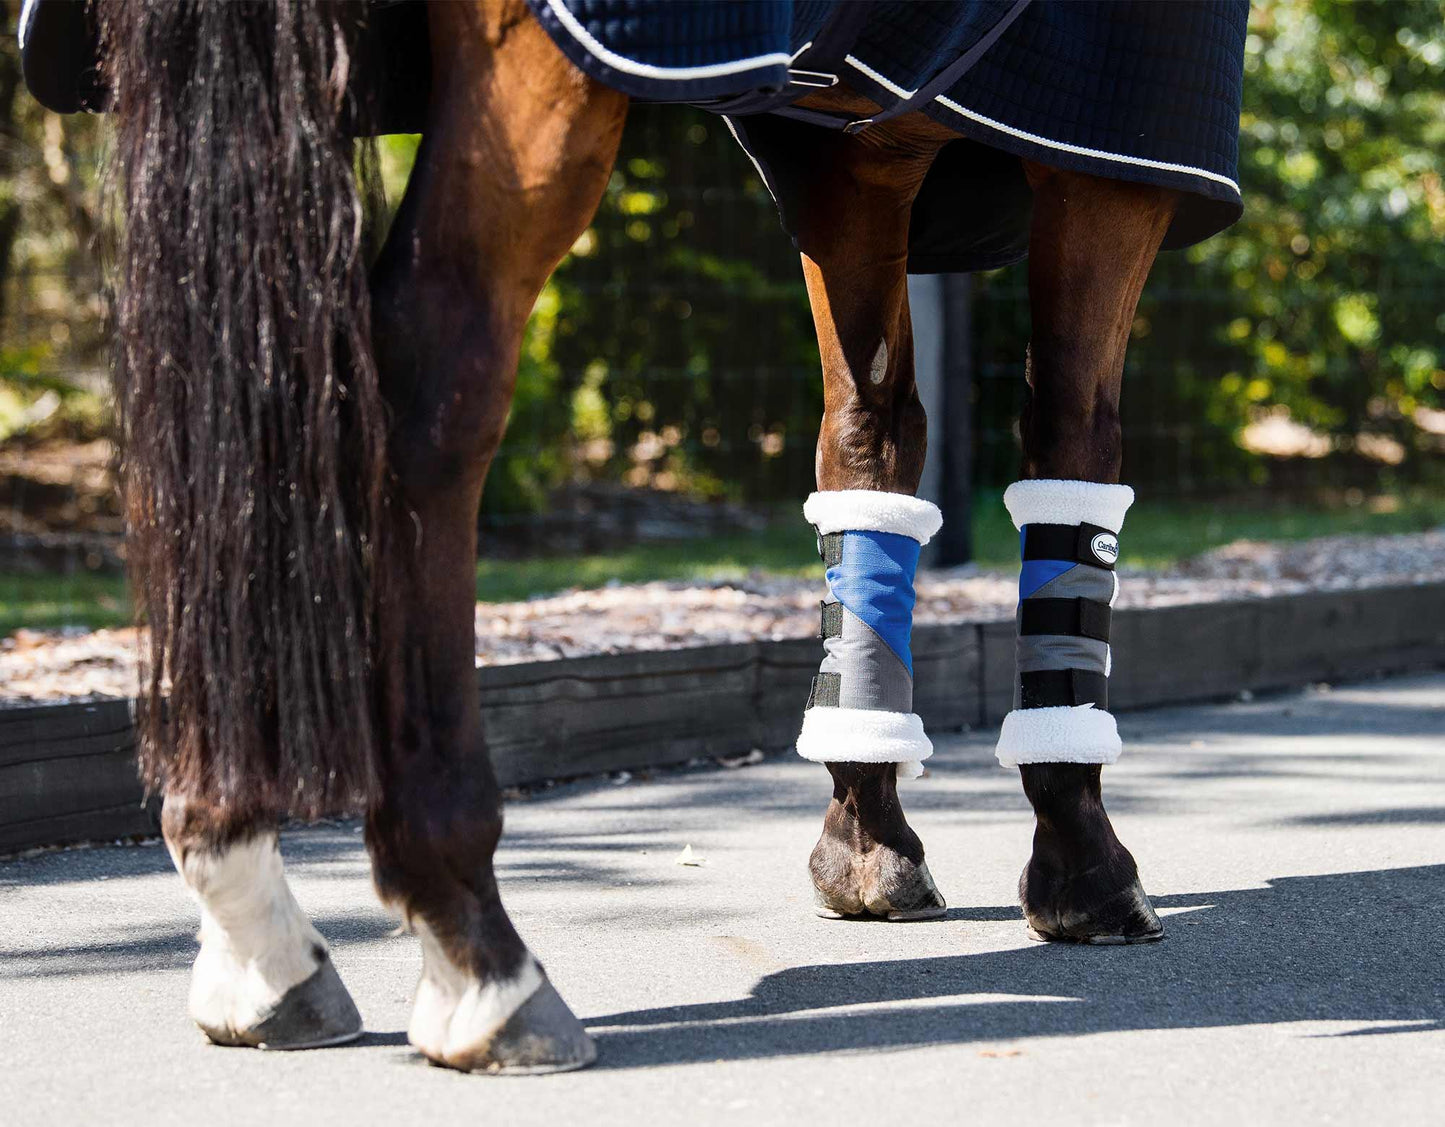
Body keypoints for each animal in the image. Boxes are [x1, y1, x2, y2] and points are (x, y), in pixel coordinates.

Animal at [87, 0, 1242, 1074]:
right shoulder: (1111, 145)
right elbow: (1071, 444)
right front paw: (1082, 859)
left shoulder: (855, 151)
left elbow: (866, 448)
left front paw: (866, 840)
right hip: (538, 89)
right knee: (428, 380)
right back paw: (477, 950)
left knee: (237, 378)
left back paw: (253, 921)